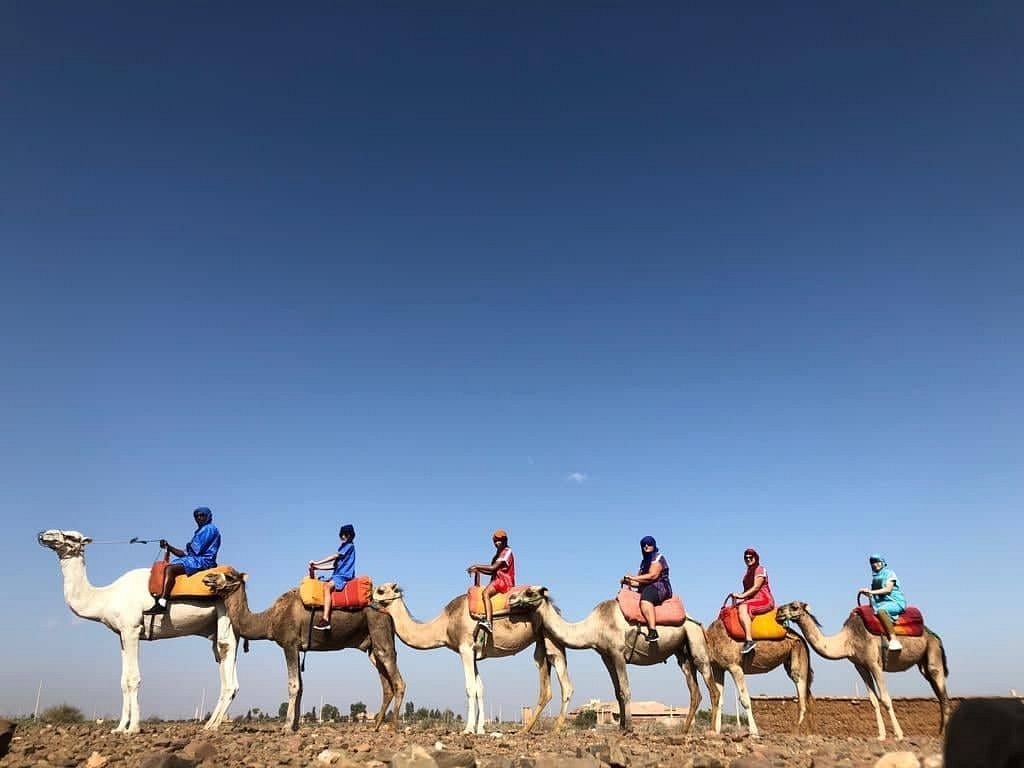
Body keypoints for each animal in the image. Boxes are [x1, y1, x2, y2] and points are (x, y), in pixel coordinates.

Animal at [38, 530, 238, 734]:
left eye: (71, 536)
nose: (44, 534)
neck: (106, 598)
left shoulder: (132, 629)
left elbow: (133, 679)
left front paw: (132, 728)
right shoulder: (122, 634)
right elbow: (123, 681)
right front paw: (119, 728)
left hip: (225, 613)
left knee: (226, 660)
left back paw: (212, 726)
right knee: (227, 669)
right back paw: (210, 723)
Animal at [202, 568, 405, 733]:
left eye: (229, 576)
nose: (208, 577)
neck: (270, 619)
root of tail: (387, 610)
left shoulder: (289, 644)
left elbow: (293, 685)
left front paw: (286, 727)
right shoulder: (298, 648)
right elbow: (301, 686)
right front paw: (296, 726)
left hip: (380, 631)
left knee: (397, 678)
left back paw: (392, 727)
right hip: (371, 646)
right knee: (386, 683)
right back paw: (376, 726)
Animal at [370, 582, 573, 735]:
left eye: (380, 590)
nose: (369, 599)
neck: (444, 625)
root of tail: (556, 609)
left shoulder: (465, 648)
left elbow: (470, 688)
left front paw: (468, 729)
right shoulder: (474, 653)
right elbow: (480, 688)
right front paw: (480, 729)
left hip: (549, 638)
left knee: (564, 684)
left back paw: (552, 730)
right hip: (542, 642)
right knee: (548, 687)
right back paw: (529, 729)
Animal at [506, 586, 719, 733]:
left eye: (529, 591)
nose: (511, 598)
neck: (594, 627)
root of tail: (696, 621)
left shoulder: (618, 652)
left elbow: (625, 690)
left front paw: (629, 728)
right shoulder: (606, 655)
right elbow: (617, 692)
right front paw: (621, 727)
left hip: (696, 642)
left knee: (712, 687)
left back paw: (711, 730)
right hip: (682, 653)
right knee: (694, 691)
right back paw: (684, 730)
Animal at [774, 600, 950, 740]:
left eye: (795, 606)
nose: (779, 612)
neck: (848, 640)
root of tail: (934, 636)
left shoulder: (874, 663)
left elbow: (885, 698)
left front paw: (899, 735)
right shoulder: (860, 666)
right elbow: (873, 700)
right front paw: (881, 735)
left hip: (933, 653)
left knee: (943, 693)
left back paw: (942, 735)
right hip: (923, 663)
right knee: (939, 694)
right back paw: (940, 733)